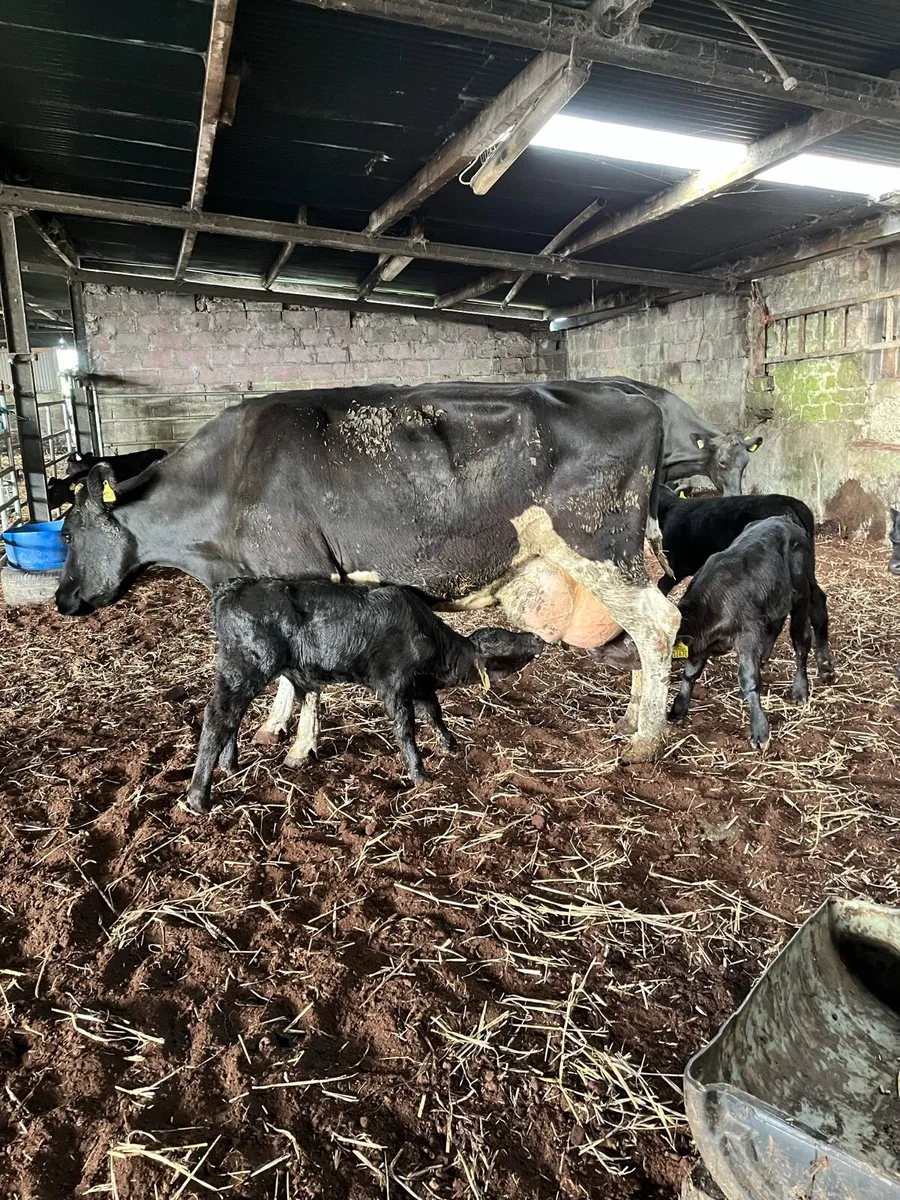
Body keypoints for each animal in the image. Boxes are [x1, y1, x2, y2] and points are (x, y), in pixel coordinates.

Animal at [55, 382, 681, 762]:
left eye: (65, 533)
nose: (62, 599)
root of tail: (631, 393)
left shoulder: (299, 572)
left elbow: (302, 675)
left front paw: (299, 748)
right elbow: (284, 674)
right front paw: (272, 727)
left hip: (600, 548)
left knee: (659, 624)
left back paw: (645, 740)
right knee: (640, 633)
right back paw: (631, 718)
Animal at [186, 578, 543, 812]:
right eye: (505, 639)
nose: (538, 638)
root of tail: (231, 588)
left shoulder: (420, 685)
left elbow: (434, 713)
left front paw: (450, 745)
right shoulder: (394, 685)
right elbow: (406, 729)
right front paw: (420, 774)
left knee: (232, 716)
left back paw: (229, 766)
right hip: (247, 666)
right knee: (218, 716)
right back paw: (198, 796)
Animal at [669, 515, 825, 748]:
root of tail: (783, 519)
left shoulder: (747, 633)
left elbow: (748, 678)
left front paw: (760, 730)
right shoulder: (699, 643)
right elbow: (690, 673)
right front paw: (678, 709)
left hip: (801, 592)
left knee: (801, 639)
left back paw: (799, 690)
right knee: (776, 625)